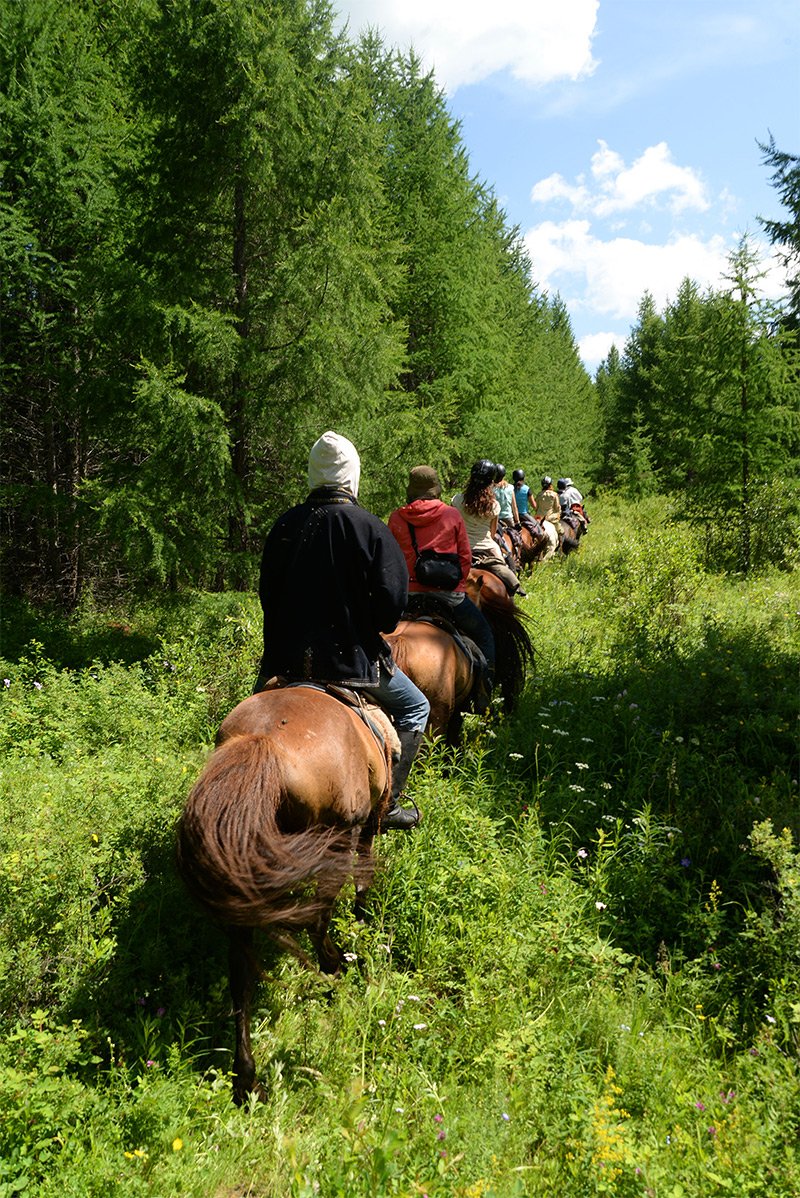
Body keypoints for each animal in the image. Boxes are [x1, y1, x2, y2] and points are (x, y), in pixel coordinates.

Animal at [177, 685, 397, 1102]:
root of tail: (266, 743)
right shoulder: (366, 825)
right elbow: (363, 881)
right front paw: (362, 929)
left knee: (241, 974)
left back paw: (247, 1080)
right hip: (336, 839)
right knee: (318, 920)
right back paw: (335, 974)